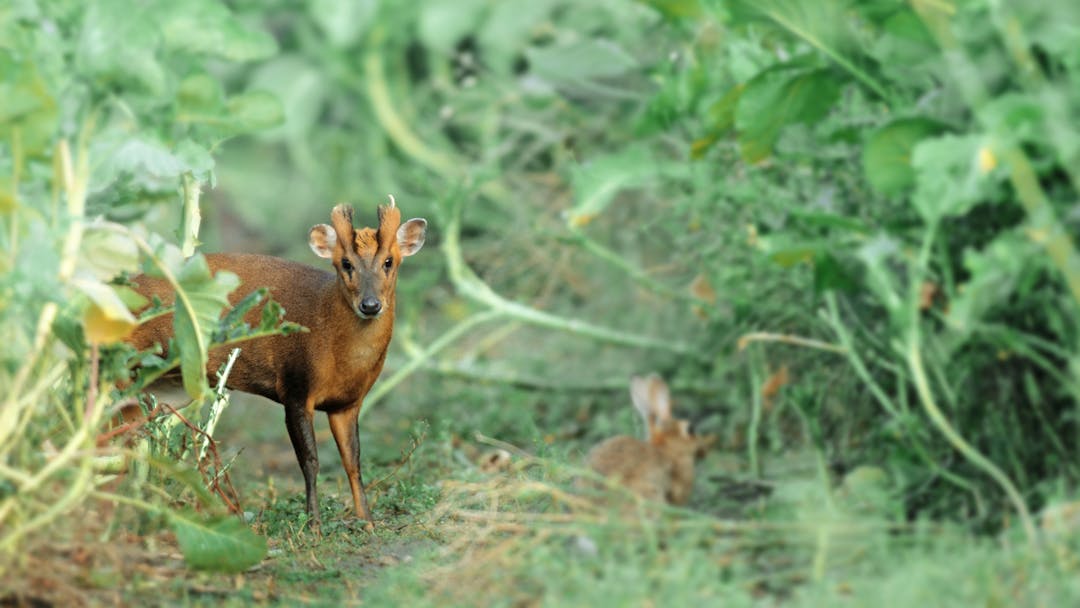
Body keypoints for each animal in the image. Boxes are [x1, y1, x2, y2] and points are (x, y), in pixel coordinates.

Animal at [130, 199, 425, 533]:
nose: (371, 305)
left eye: (389, 261)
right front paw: (313, 526)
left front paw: (368, 521)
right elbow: (310, 461)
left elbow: (353, 461)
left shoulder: (347, 403)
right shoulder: (295, 387)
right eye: (346, 263)